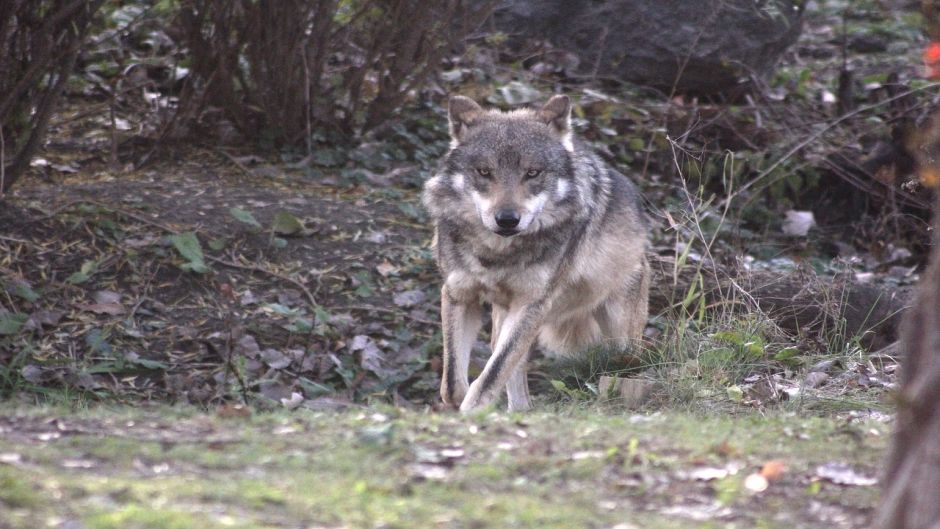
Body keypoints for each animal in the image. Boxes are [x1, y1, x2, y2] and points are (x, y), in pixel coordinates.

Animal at [422, 94, 650, 412]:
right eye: (484, 172)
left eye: (532, 173)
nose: (507, 219)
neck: (497, 254)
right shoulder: (458, 294)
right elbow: (453, 382)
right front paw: (461, 406)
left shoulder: (532, 304)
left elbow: (492, 374)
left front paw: (473, 410)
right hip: (504, 320)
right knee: (514, 379)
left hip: (621, 339)